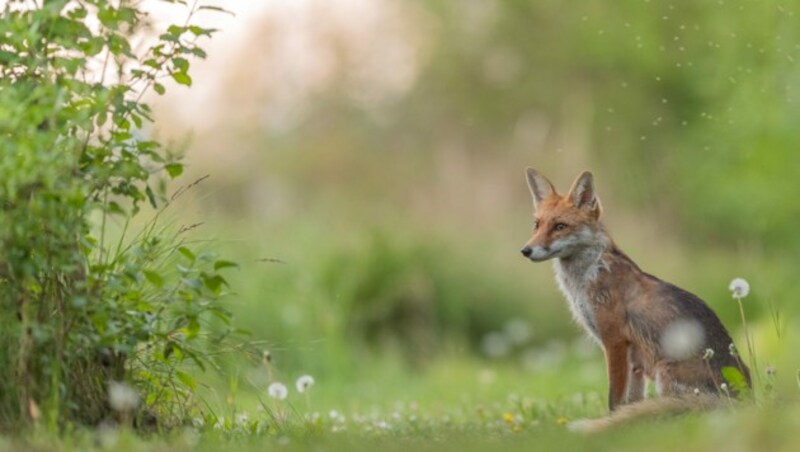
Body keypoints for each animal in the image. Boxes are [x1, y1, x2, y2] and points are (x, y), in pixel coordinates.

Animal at [520, 169, 752, 430]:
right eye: (536, 225)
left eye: (560, 226)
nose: (526, 250)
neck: (588, 276)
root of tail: (745, 400)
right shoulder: (635, 360)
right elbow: (631, 401)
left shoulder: (614, 341)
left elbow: (615, 400)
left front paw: (611, 426)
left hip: (665, 373)